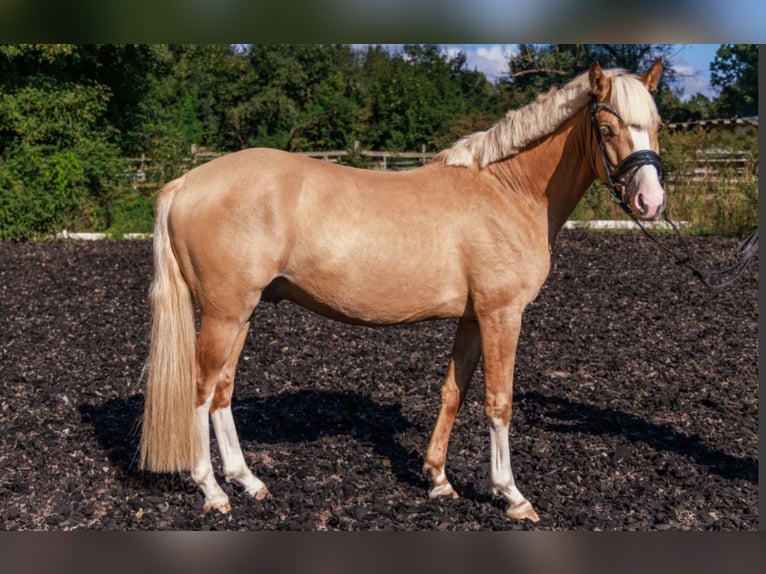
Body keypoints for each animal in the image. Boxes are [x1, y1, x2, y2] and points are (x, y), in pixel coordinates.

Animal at [139, 61, 665, 523]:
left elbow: (453, 391)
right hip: (224, 315)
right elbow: (499, 402)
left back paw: (247, 481)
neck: (508, 190)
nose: (651, 201)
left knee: (223, 391)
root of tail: (186, 182)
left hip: (242, 314)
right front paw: (513, 496)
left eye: (657, 125)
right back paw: (212, 492)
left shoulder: (472, 318)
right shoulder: (502, 314)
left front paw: (439, 480)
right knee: (201, 390)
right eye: (607, 127)